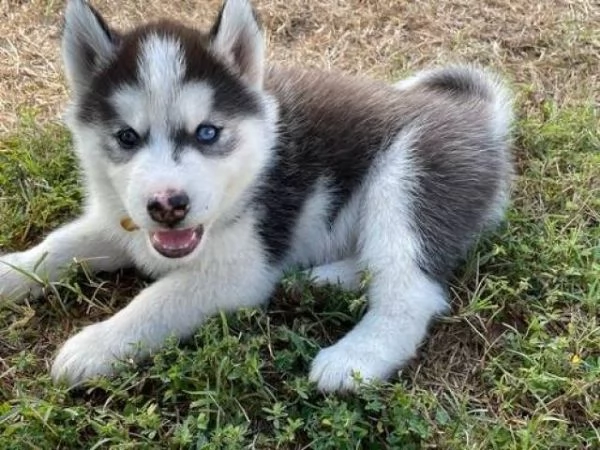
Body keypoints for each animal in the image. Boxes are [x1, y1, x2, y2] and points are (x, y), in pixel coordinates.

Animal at [1, 0, 510, 390]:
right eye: (127, 137)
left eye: (207, 133)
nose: (167, 206)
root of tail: (476, 117)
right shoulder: (119, 222)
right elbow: (60, 245)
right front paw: (11, 270)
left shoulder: (240, 271)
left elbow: (157, 301)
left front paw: (95, 345)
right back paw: (323, 278)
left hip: (407, 177)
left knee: (408, 288)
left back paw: (354, 357)